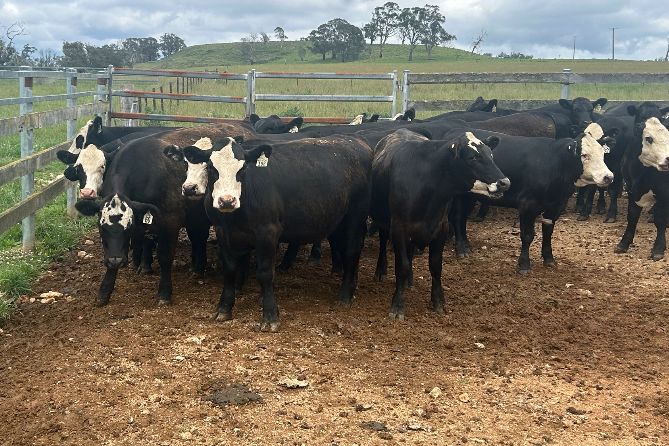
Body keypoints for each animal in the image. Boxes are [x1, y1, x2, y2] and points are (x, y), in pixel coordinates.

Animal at [182, 135, 372, 331]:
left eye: (243, 169)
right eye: (211, 167)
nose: (227, 201)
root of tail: (354, 140)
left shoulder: (267, 231)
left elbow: (265, 273)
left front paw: (270, 316)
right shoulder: (222, 231)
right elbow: (229, 269)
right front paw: (224, 308)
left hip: (356, 214)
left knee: (352, 250)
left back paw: (345, 296)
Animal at [370, 129, 510, 319]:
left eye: (491, 154)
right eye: (473, 157)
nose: (505, 183)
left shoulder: (441, 228)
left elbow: (435, 266)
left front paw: (438, 301)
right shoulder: (399, 228)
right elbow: (402, 266)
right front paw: (397, 305)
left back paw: (410, 281)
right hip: (383, 220)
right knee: (384, 243)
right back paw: (381, 270)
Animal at [450, 124, 614, 274]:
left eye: (603, 153)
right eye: (584, 155)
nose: (608, 177)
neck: (554, 164)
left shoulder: (556, 206)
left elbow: (548, 232)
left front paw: (549, 258)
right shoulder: (527, 205)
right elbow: (527, 235)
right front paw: (524, 264)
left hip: (471, 196)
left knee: (462, 217)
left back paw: (466, 245)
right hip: (458, 195)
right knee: (457, 217)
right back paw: (461, 248)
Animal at [615, 102, 669, 260]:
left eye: (665, 131)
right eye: (647, 137)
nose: (667, 159)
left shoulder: (663, 191)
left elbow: (660, 218)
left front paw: (658, 248)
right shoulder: (632, 189)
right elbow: (632, 216)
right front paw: (624, 243)